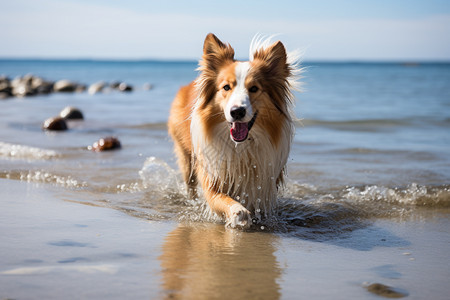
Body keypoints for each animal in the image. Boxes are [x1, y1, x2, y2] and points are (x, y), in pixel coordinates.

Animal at [167, 33, 300, 227]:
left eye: (254, 88)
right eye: (226, 87)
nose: (237, 111)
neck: (241, 146)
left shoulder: (264, 180)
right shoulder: (211, 172)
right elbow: (221, 199)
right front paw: (239, 212)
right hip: (186, 158)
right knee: (190, 184)